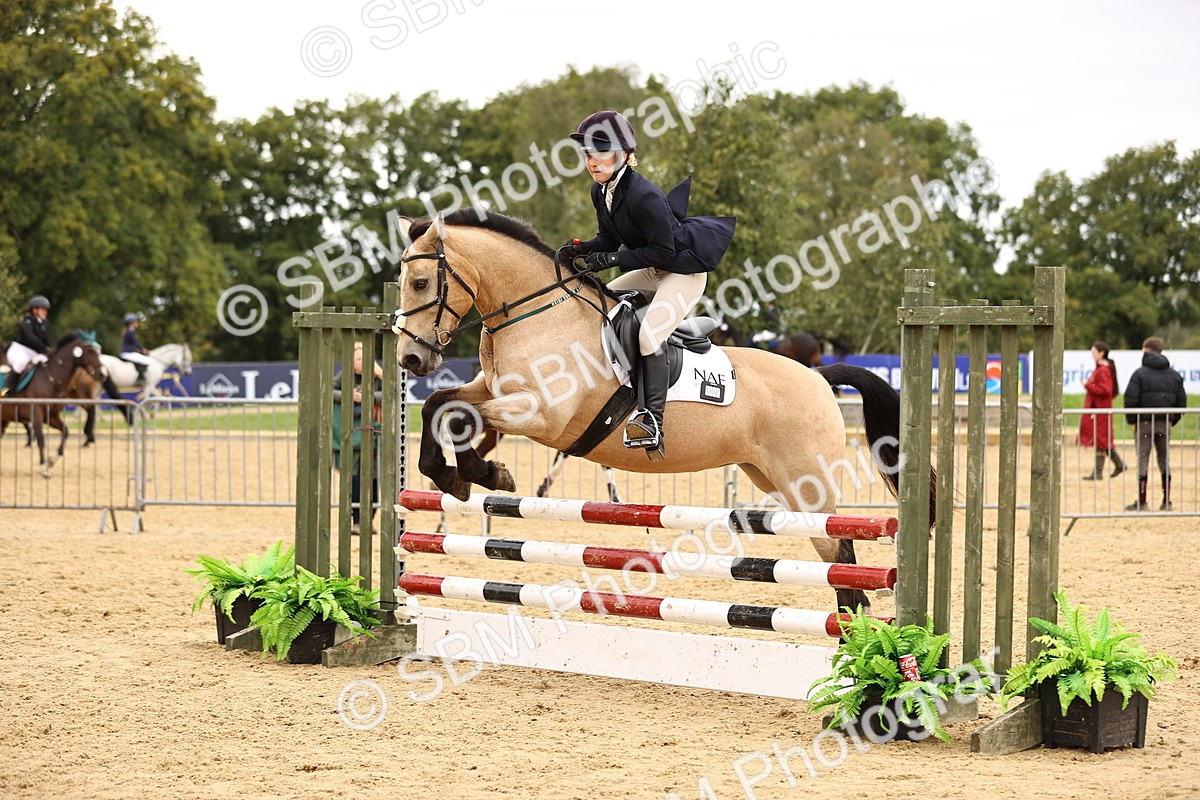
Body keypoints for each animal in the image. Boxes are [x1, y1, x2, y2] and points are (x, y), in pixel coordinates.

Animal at [0, 333, 107, 477]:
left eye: (99, 351)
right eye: (90, 351)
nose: (103, 374)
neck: (51, 378)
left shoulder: (50, 416)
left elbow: (65, 432)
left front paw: (51, 461)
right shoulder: (36, 415)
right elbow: (41, 439)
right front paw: (44, 467)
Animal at [392, 210, 935, 616]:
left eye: (419, 283)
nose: (410, 360)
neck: (540, 315)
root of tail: (819, 376)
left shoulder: (541, 415)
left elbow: (461, 417)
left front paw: (485, 474)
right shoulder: (493, 390)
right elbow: (444, 405)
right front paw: (456, 476)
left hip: (809, 487)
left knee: (841, 558)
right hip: (770, 478)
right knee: (837, 563)